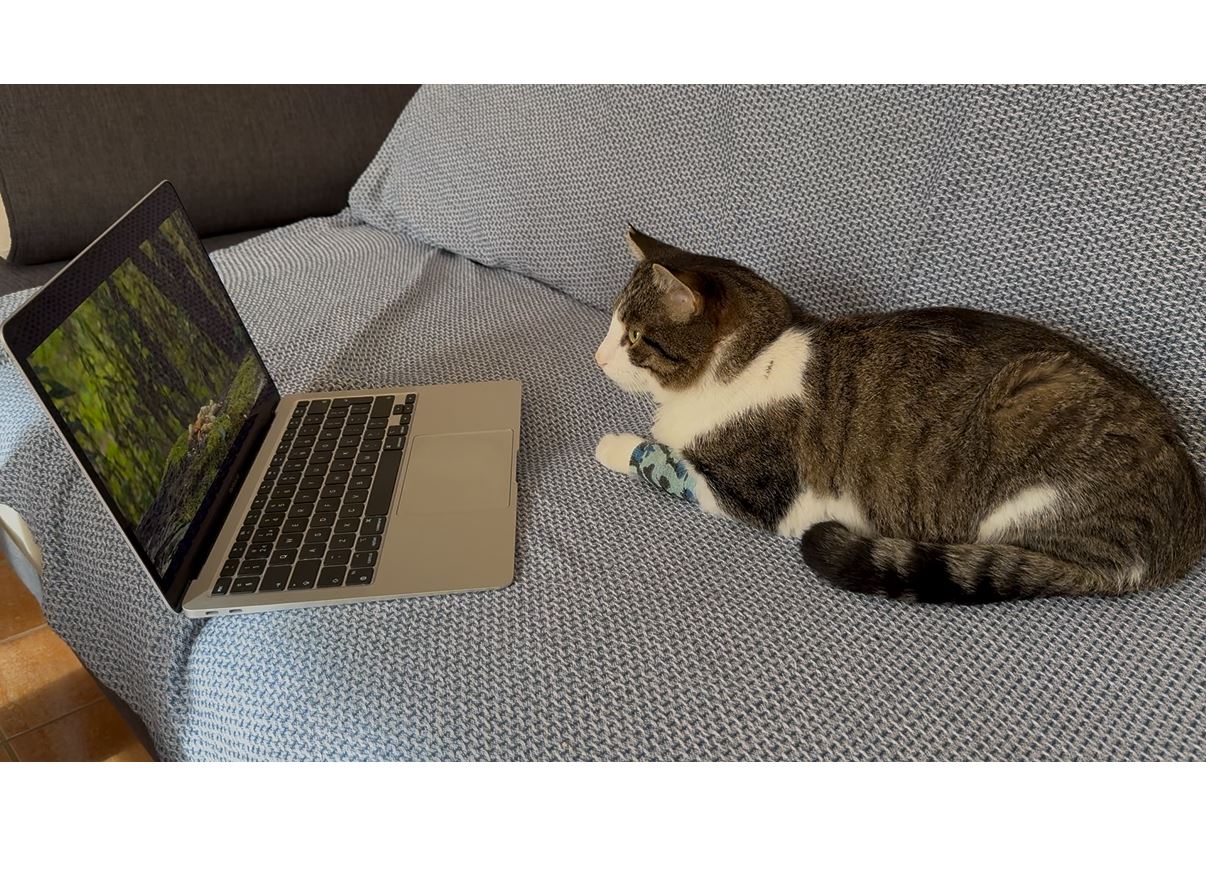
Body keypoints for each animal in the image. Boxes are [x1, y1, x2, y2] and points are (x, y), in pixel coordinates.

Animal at [594, 226, 1206, 602]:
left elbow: (660, 459)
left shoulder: (750, 494)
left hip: (1032, 423)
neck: (754, 356)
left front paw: (613, 445)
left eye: (634, 338)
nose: (598, 358)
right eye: (613, 325)